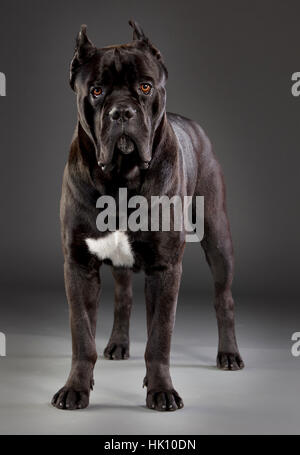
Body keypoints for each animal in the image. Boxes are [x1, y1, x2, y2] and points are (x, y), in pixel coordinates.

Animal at [52, 20, 244, 414]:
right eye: (96, 91)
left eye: (145, 86)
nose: (122, 112)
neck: (121, 177)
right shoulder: (78, 265)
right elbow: (82, 335)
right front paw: (76, 388)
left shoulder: (165, 268)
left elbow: (160, 338)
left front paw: (161, 391)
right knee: (123, 299)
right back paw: (118, 345)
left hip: (218, 237)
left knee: (224, 298)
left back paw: (229, 354)